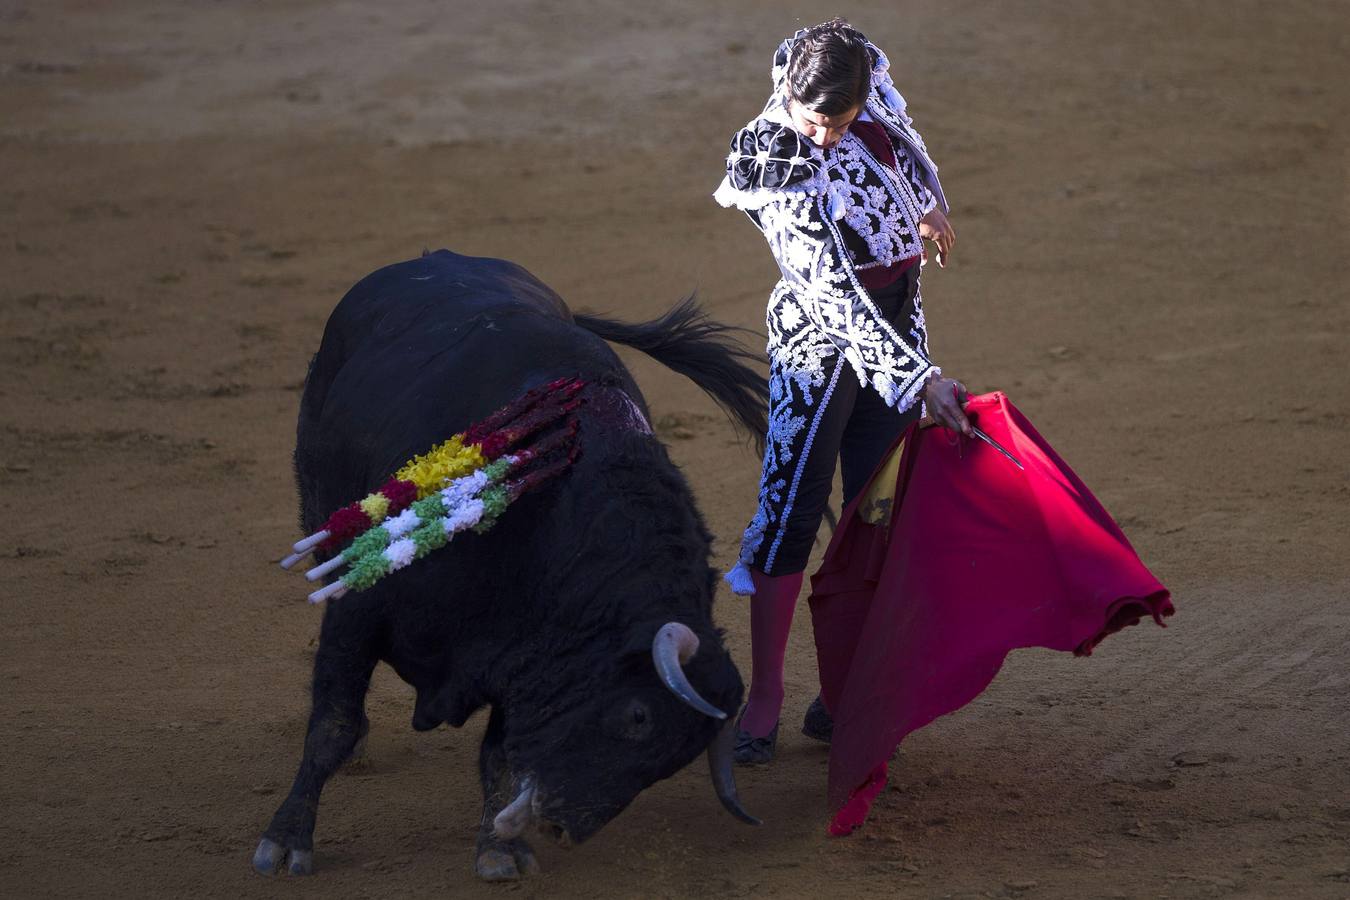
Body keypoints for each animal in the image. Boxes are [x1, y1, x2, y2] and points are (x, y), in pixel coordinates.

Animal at [253, 248, 772, 879]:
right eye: (637, 718)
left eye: (675, 758)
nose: (560, 826)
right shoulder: (361, 610)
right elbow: (333, 725)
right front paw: (286, 841)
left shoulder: (527, 652)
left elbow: (498, 752)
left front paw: (499, 851)